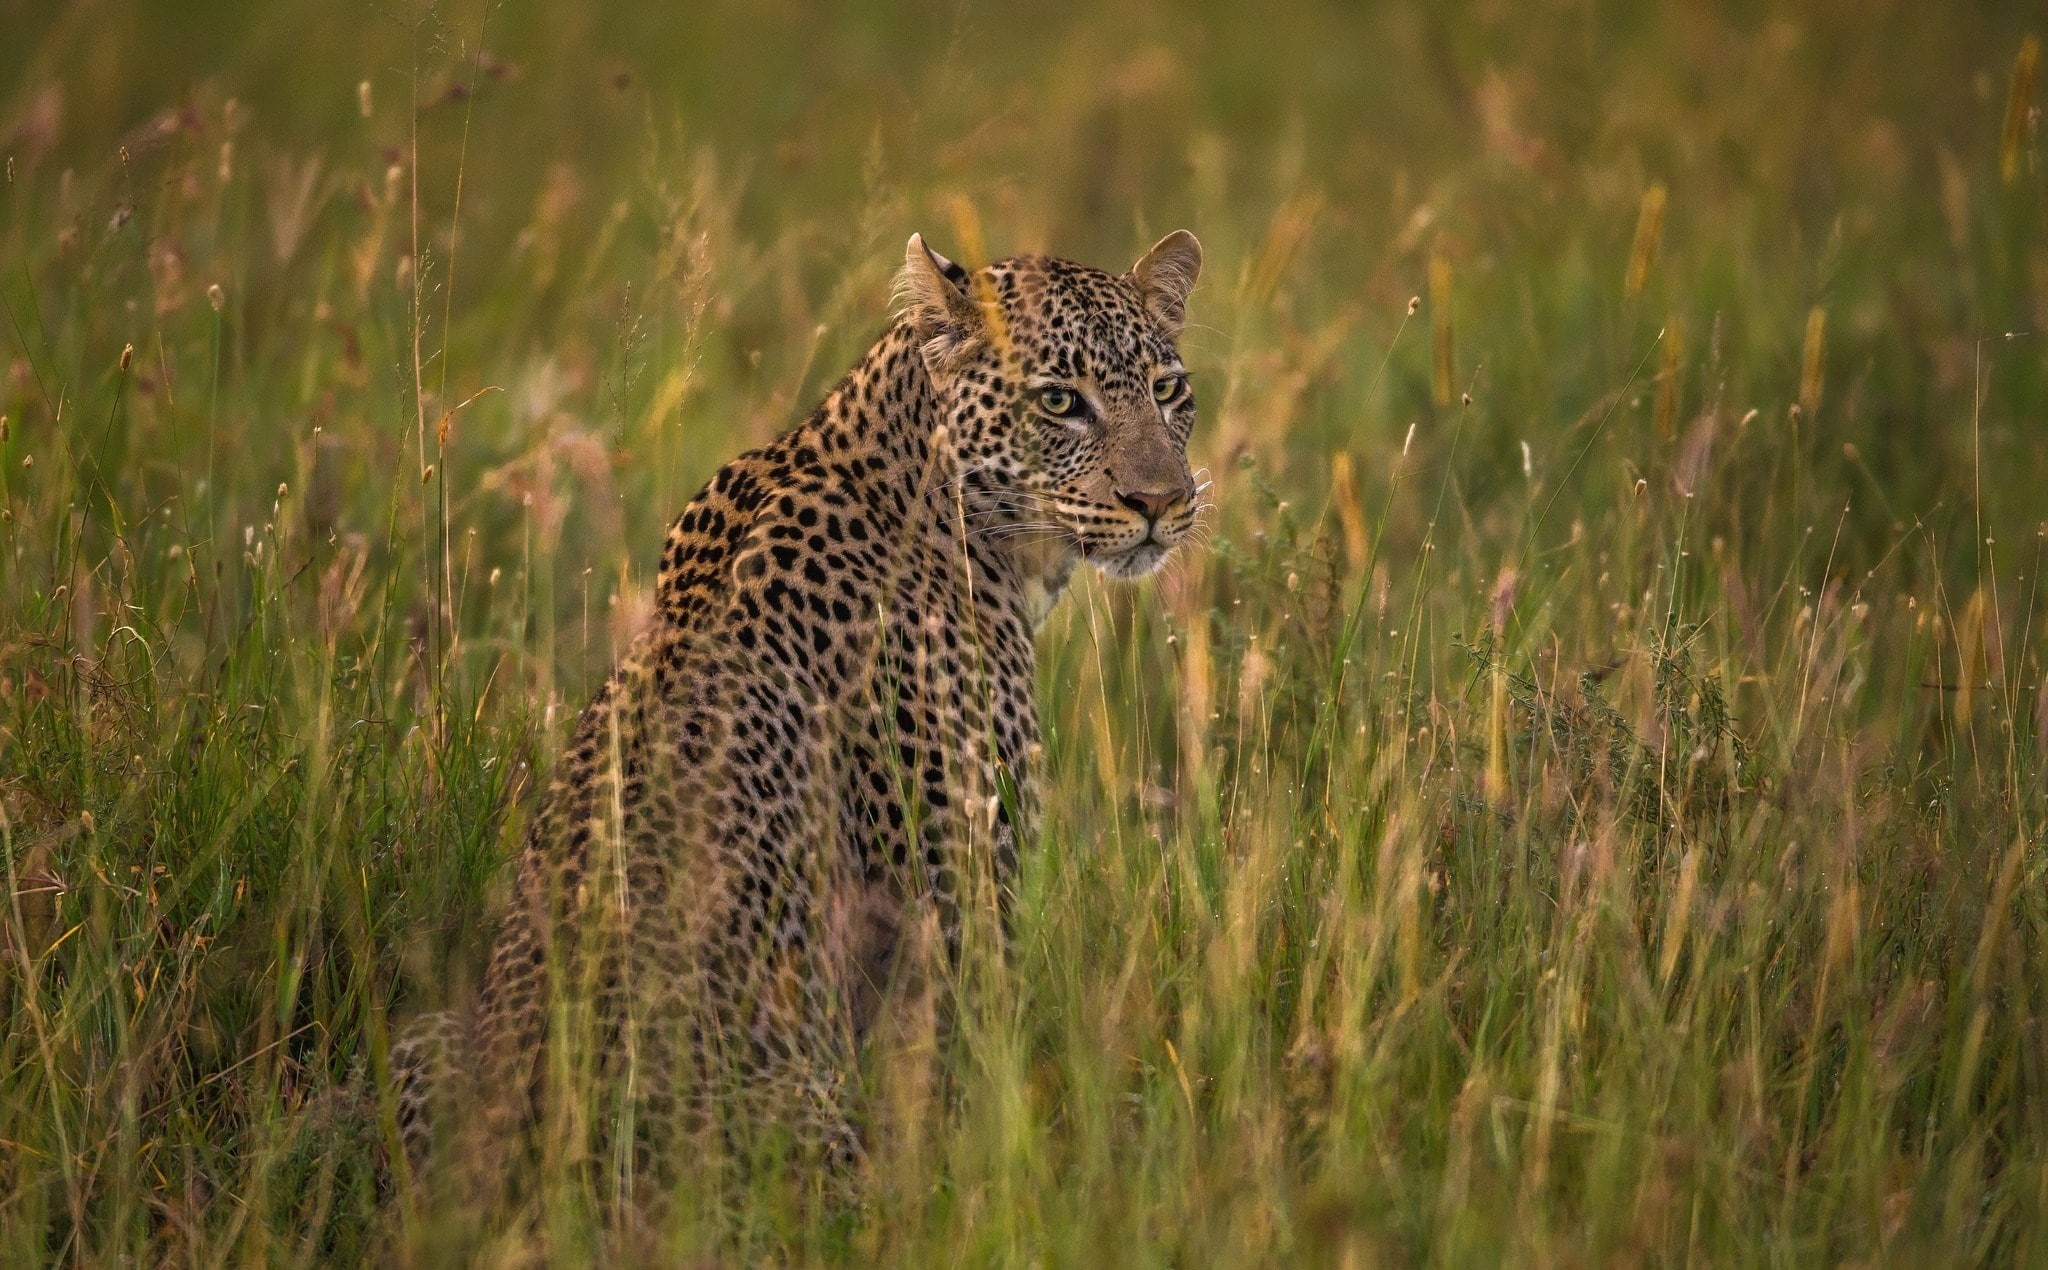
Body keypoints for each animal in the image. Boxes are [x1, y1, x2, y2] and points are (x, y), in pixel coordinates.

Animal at [390, 229, 1206, 1204]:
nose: (1163, 501)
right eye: (1059, 401)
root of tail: (556, 1175)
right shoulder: (962, 904)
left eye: (1168, 390)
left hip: (425, 1040)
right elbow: (981, 1082)